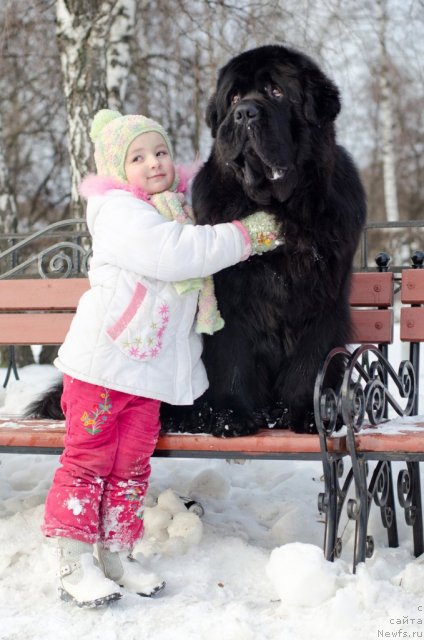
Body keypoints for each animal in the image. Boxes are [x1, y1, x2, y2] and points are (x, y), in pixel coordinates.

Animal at [28, 43, 364, 436]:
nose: (244, 113)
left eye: (276, 91)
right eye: (233, 97)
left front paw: (310, 413)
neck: (276, 202)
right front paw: (230, 415)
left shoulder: (322, 299)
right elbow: (231, 356)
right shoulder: (231, 301)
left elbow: (311, 362)